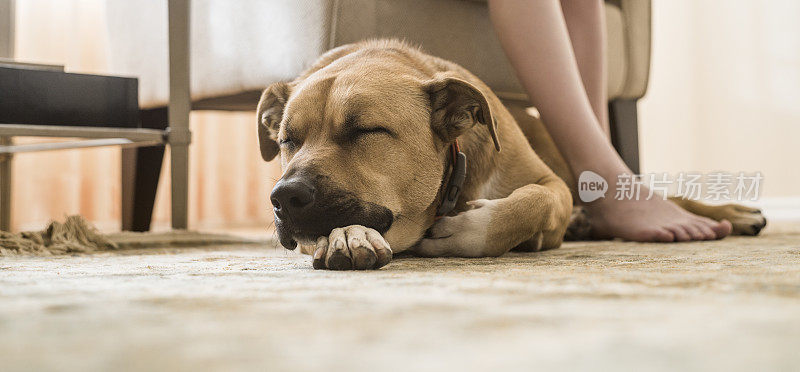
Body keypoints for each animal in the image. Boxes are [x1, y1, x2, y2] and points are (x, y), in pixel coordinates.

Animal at [258, 39, 768, 270]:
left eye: (367, 130)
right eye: (286, 140)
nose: (283, 197)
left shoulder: (550, 185)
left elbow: (529, 202)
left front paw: (470, 231)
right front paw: (347, 236)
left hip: (578, 173)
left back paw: (731, 214)